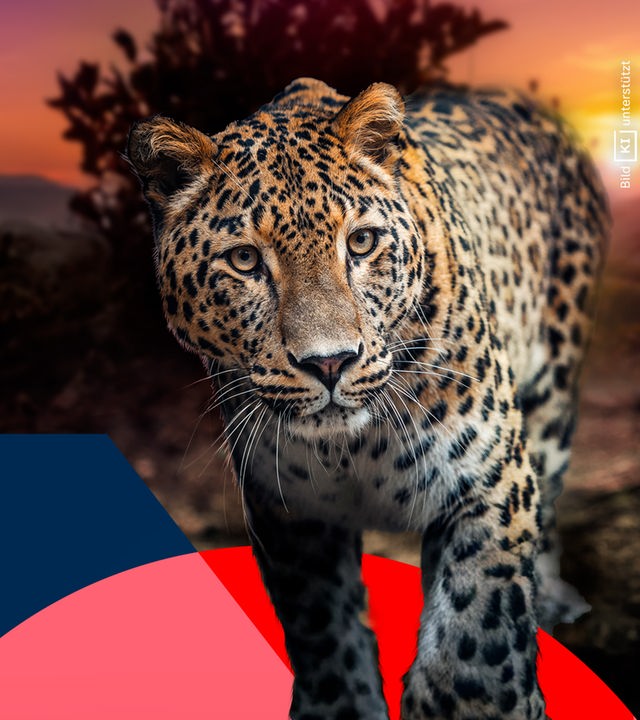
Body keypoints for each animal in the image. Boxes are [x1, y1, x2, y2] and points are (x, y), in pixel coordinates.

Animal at [127, 77, 609, 720]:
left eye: (361, 242)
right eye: (245, 260)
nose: (329, 362)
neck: (352, 448)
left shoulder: (488, 478)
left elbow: (477, 640)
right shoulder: (291, 512)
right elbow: (326, 636)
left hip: (553, 390)